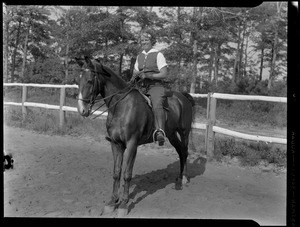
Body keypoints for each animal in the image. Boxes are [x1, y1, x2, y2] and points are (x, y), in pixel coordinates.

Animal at [75, 55, 195, 217]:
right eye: (78, 80)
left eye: (89, 81)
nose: (81, 110)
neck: (122, 106)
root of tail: (182, 96)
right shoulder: (116, 144)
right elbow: (116, 173)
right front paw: (112, 202)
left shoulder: (132, 145)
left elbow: (127, 174)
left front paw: (124, 204)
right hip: (171, 134)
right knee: (180, 152)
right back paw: (179, 177)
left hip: (184, 132)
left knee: (185, 151)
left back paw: (184, 179)